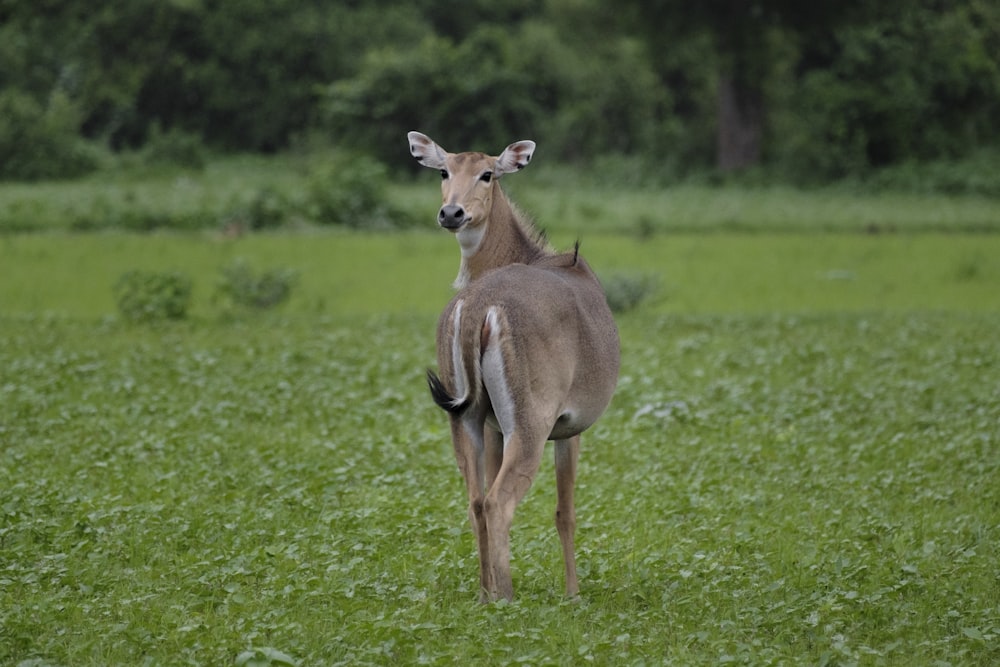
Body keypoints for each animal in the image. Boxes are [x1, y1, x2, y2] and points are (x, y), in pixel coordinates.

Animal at [406, 129, 616, 600]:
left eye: (487, 174)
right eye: (444, 171)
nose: (452, 212)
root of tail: (477, 307)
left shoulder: (490, 426)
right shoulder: (570, 427)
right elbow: (565, 512)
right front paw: (574, 594)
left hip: (464, 417)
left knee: (476, 501)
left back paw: (486, 595)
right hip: (529, 421)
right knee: (499, 502)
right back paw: (507, 598)